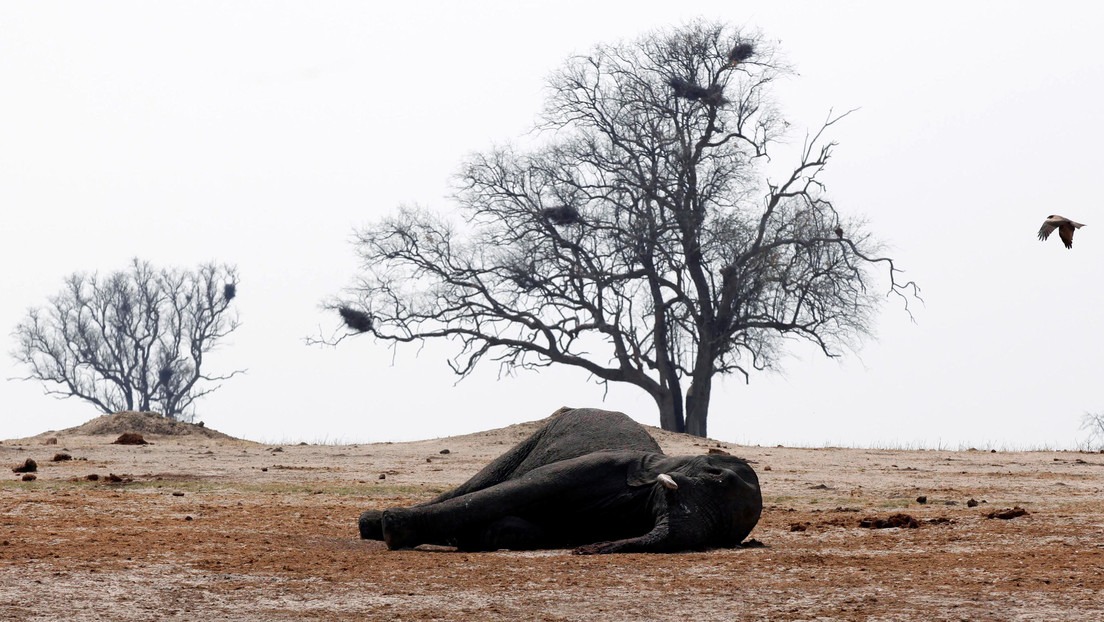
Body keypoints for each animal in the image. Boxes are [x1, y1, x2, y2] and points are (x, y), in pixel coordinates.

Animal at [357, 408, 763, 554]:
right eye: (716, 475)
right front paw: (394, 529)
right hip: (535, 436)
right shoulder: (603, 464)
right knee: (478, 486)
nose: (586, 551)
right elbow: (517, 491)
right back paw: (372, 524)